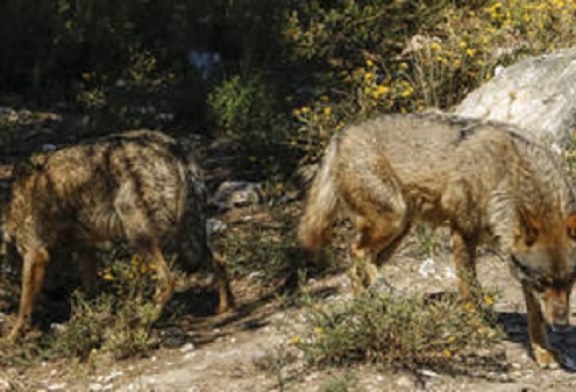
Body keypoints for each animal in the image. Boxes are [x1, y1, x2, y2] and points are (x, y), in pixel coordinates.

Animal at [2, 130, 232, 342]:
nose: (56, 293)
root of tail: (173, 145)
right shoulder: (85, 247)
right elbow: (90, 290)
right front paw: (90, 319)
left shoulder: (35, 255)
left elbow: (24, 303)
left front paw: (14, 334)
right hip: (184, 236)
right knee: (219, 261)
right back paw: (224, 307)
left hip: (143, 238)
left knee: (169, 280)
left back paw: (145, 320)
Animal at [300, 112, 576, 368]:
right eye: (543, 282)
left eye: (571, 281)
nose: (562, 324)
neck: (507, 173)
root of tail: (341, 134)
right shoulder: (463, 232)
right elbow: (469, 289)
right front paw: (478, 327)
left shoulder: (517, 263)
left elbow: (535, 315)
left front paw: (543, 351)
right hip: (392, 220)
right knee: (356, 254)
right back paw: (374, 304)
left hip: (400, 229)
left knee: (364, 265)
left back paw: (379, 305)